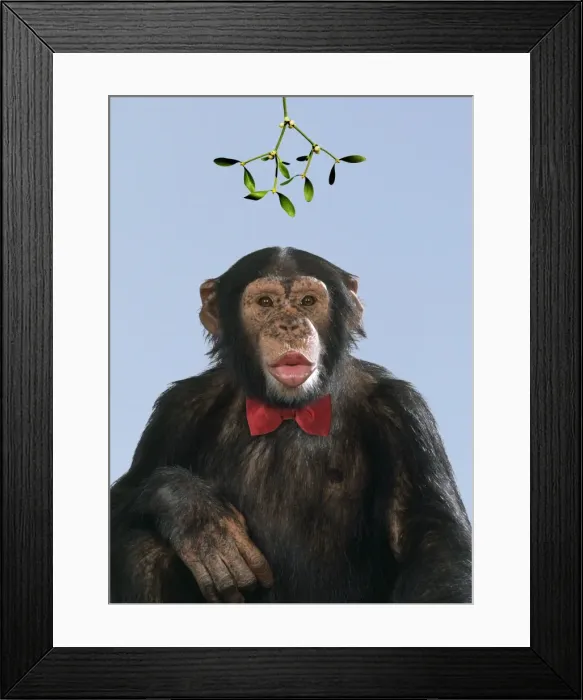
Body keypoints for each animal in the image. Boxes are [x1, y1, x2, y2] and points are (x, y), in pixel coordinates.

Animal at [110, 246, 472, 603]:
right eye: (265, 302)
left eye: (308, 301)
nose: (290, 324)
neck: (287, 410)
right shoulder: (178, 408)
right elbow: (124, 498)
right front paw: (196, 516)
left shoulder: (402, 413)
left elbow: (432, 543)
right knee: (143, 550)